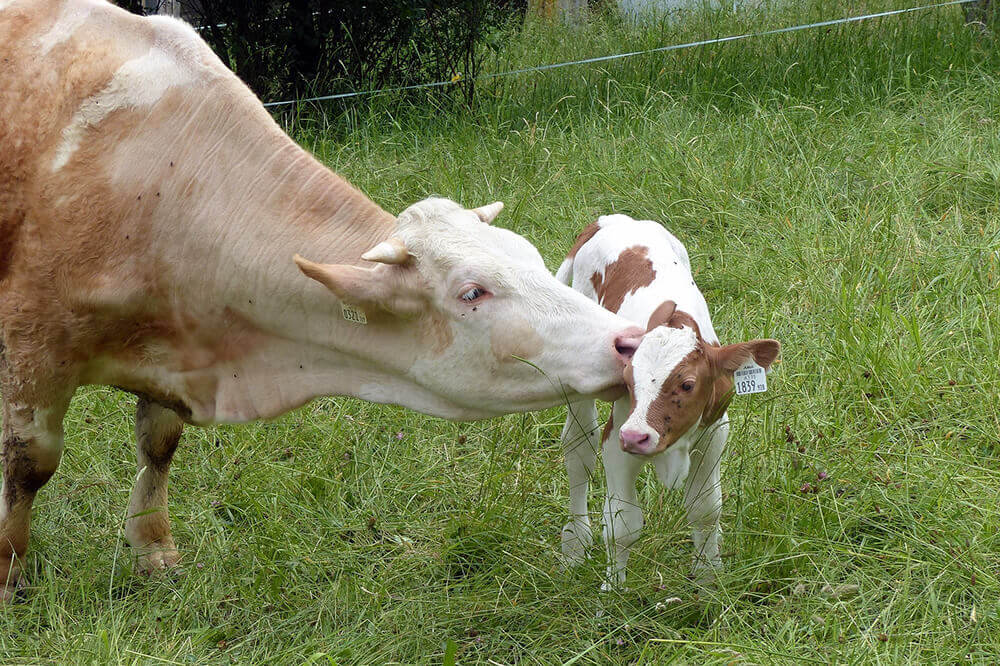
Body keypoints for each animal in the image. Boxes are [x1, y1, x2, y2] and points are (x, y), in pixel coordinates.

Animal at [0, 0, 644, 600]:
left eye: (532, 257)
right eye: (472, 292)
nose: (628, 340)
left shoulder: (172, 350)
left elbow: (159, 444)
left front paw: (153, 549)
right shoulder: (31, 344)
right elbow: (30, 461)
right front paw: (9, 571)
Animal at [556, 213, 780, 588]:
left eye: (687, 385)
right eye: (628, 380)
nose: (637, 437)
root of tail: (610, 219)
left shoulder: (713, 432)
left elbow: (705, 509)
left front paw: (708, 577)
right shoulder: (618, 438)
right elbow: (622, 524)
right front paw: (612, 590)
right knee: (578, 451)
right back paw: (574, 543)